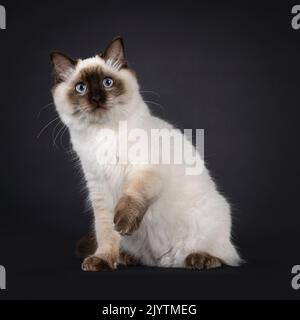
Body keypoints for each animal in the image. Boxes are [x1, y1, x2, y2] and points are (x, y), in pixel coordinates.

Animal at [49, 36, 241, 272]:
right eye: (81, 88)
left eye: (107, 83)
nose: (96, 98)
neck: (103, 133)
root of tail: (164, 262)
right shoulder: (99, 189)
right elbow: (107, 233)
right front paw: (102, 260)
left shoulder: (144, 171)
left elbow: (131, 199)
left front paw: (123, 224)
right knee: (141, 256)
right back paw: (126, 258)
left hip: (213, 215)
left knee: (226, 256)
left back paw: (199, 259)